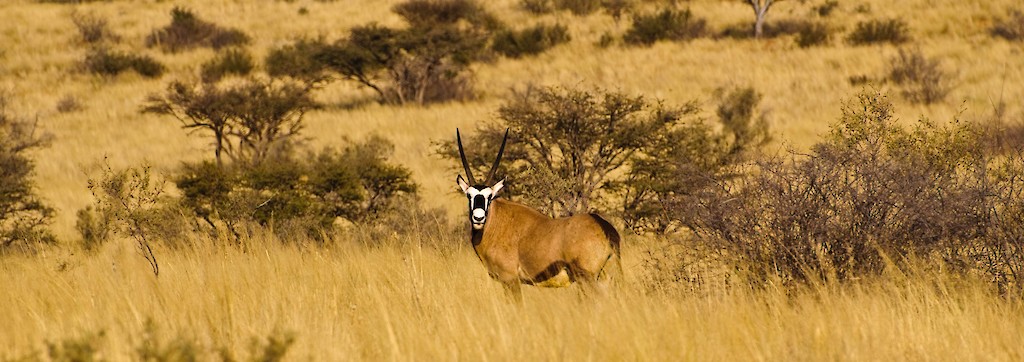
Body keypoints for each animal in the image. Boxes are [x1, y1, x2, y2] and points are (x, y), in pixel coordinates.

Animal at [458, 127, 622, 300]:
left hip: (587, 278)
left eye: (489, 196)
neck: (496, 222)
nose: (478, 218)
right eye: (469, 195)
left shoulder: (510, 280)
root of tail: (604, 227)